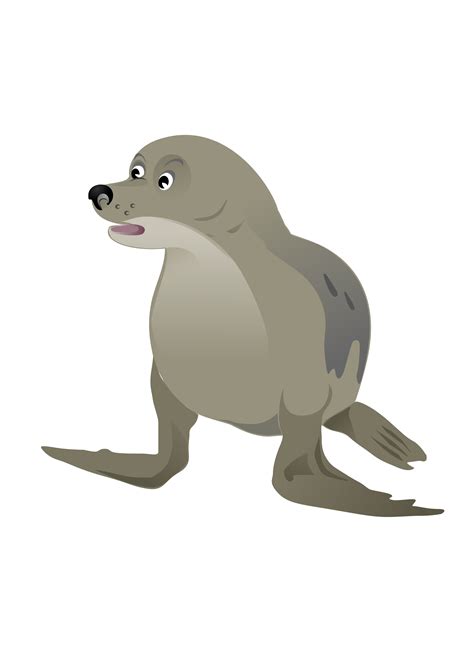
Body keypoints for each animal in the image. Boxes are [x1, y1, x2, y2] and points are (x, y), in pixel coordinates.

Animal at [42, 135, 442, 516]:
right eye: (134, 171)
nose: (100, 191)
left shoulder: (305, 387)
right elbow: (171, 450)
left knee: (336, 416)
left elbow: (289, 471)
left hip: (335, 391)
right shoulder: (164, 378)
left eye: (164, 180)